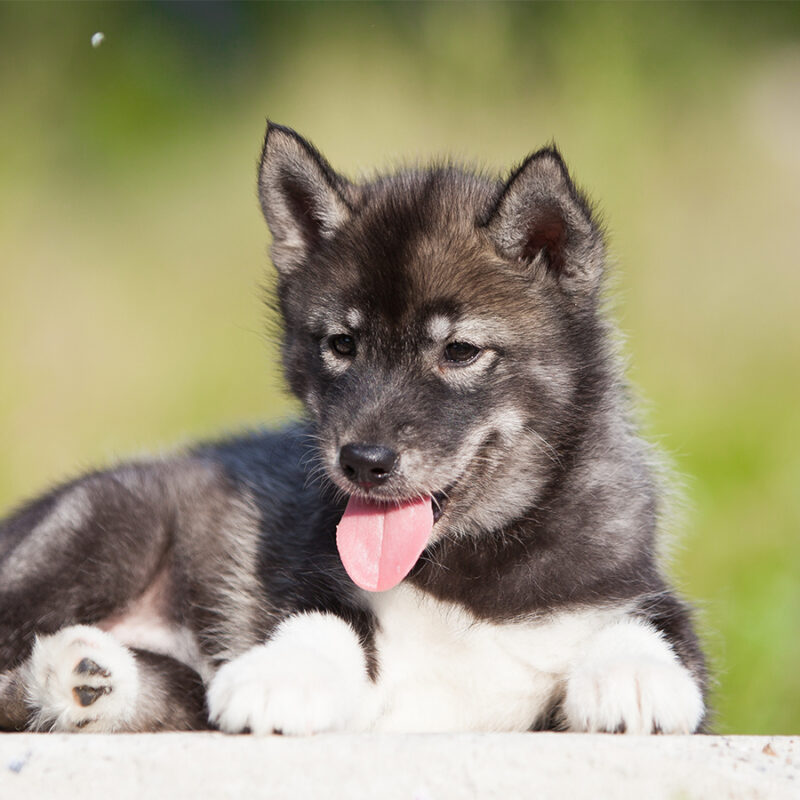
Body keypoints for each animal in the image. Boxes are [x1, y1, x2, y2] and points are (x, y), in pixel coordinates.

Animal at [0, 122, 707, 735]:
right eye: (342, 344)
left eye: (459, 351)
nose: (363, 462)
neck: (465, 568)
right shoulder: (314, 585)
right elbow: (323, 625)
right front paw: (281, 674)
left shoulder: (633, 590)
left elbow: (650, 629)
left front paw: (634, 676)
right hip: (111, 521)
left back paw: (87, 676)